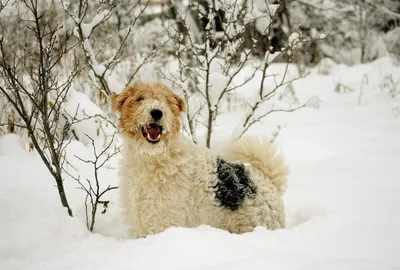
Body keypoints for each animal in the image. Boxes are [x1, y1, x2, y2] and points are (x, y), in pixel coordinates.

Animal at [111, 81, 290, 238]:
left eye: (167, 101)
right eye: (140, 98)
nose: (157, 112)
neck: (153, 157)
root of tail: (270, 182)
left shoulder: (163, 221)